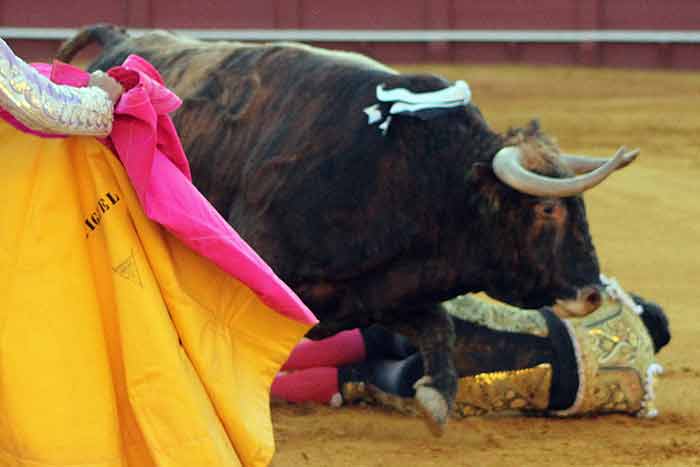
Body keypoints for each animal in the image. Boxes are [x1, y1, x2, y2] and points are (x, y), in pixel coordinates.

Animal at [57, 25, 640, 434]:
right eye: (548, 211)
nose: (593, 292)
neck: (419, 172)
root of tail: (121, 40)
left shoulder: (376, 294)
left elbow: (439, 328)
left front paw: (435, 401)